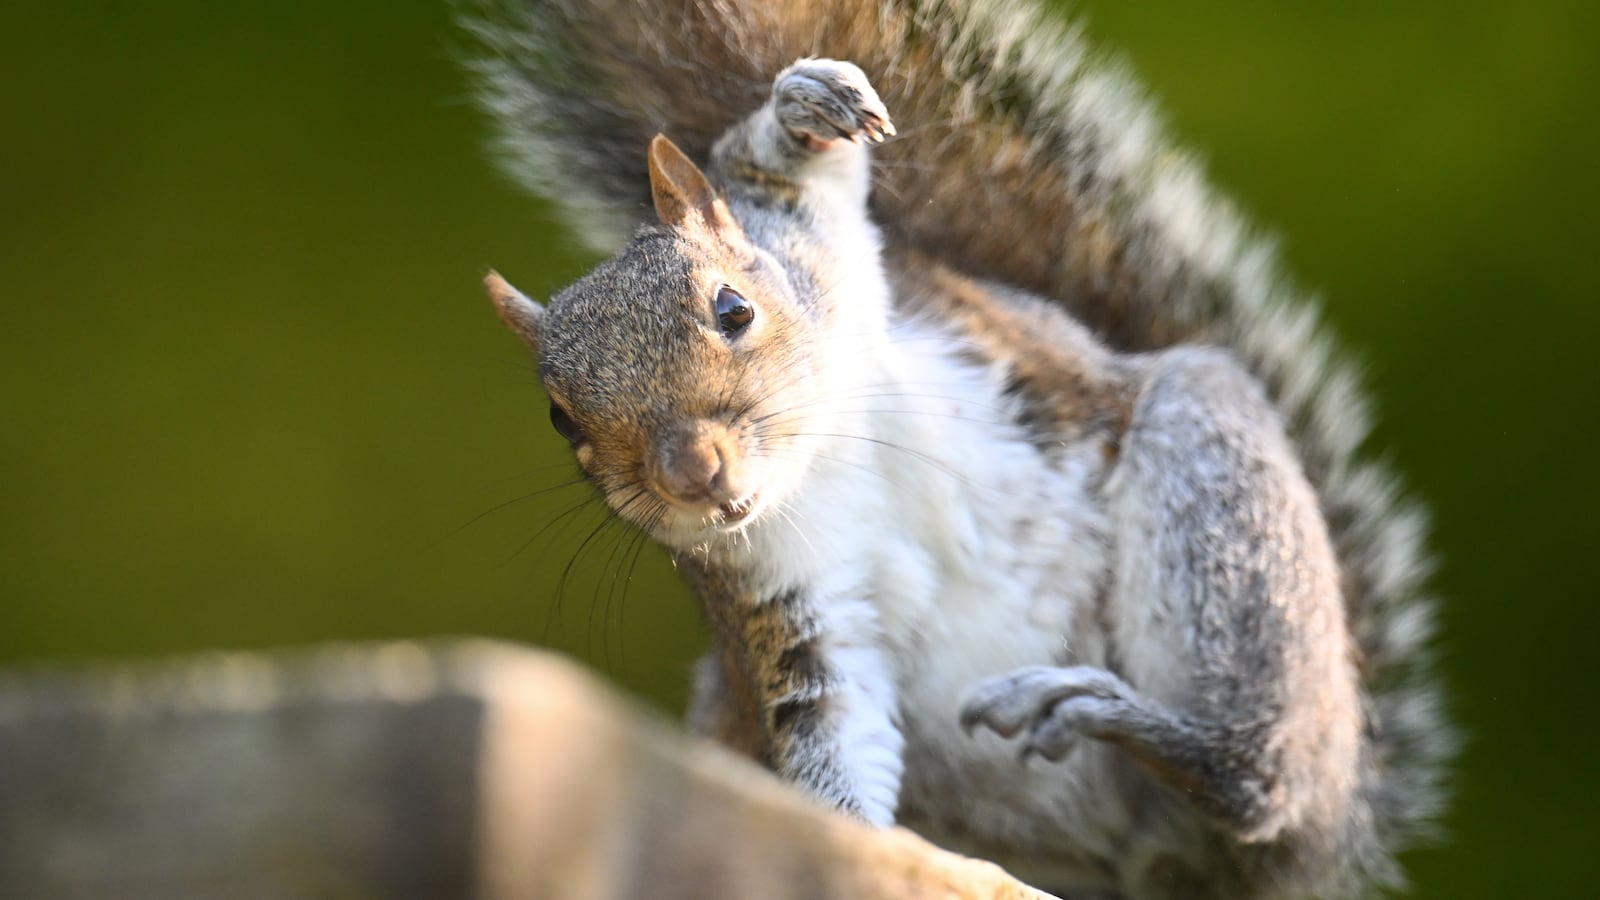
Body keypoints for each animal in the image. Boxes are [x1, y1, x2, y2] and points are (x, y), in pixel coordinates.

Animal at [461, 1, 1454, 897]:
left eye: (732, 307)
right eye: (562, 420)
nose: (692, 474)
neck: (821, 466)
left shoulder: (821, 254)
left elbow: (786, 181)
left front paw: (805, 104)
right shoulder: (787, 601)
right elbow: (833, 727)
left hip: (1215, 484)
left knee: (1259, 786)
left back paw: (1144, 725)